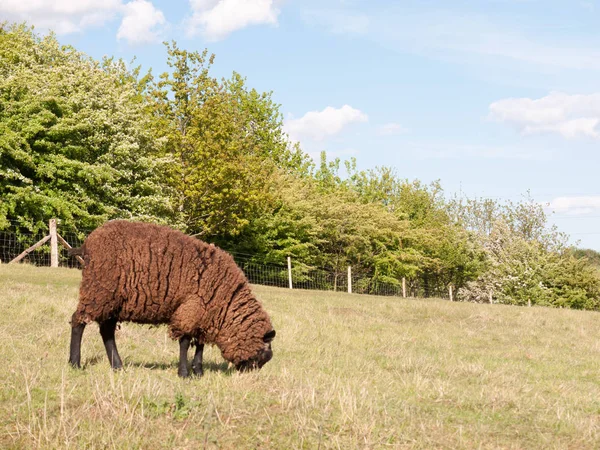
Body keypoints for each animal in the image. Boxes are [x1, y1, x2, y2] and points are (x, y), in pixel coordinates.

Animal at [68, 220, 276, 378]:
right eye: (264, 354)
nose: (249, 375)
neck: (227, 301)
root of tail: (87, 245)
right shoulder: (190, 309)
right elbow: (184, 341)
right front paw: (184, 373)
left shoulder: (203, 313)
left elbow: (199, 344)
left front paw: (198, 371)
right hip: (98, 289)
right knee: (79, 321)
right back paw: (75, 363)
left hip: (111, 299)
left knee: (106, 331)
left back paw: (118, 366)